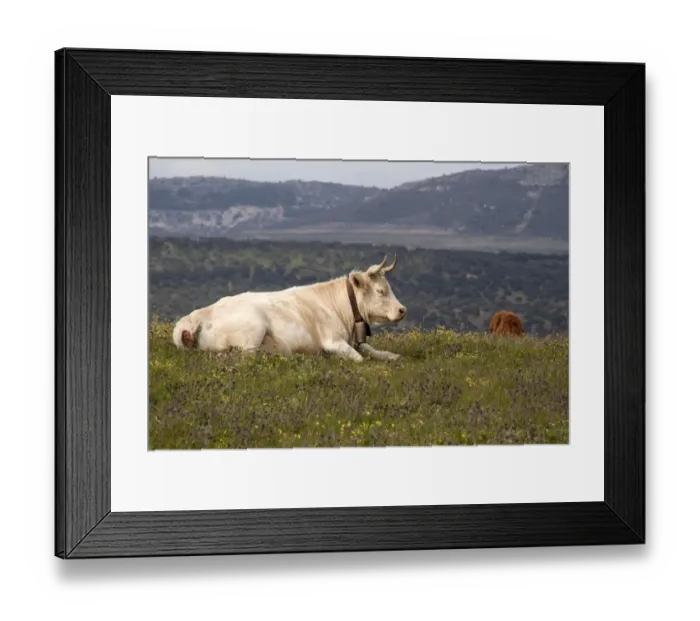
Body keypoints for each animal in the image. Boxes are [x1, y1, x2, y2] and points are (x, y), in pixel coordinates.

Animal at [172, 254, 407, 362]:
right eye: (380, 291)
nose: (402, 310)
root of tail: (201, 313)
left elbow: (376, 352)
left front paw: (393, 356)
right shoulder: (333, 341)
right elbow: (360, 359)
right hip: (254, 328)